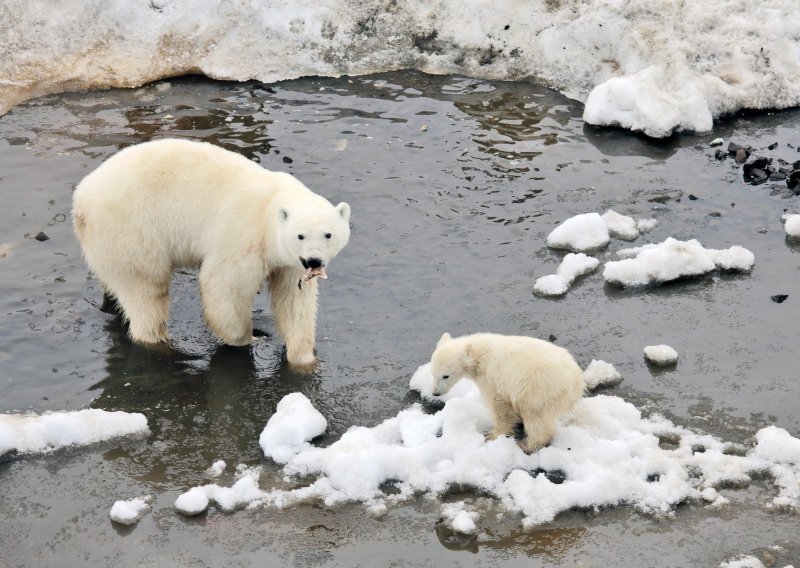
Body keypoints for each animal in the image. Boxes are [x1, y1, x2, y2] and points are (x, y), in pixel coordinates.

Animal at [72, 140, 350, 366]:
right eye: (300, 235)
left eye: (328, 234)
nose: (314, 261)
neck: (270, 205)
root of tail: (81, 200)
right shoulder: (244, 234)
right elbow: (224, 285)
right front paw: (249, 338)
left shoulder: (290, 263)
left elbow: (293, 299)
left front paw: (303, 356)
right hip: (132, 231)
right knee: (146, 290)